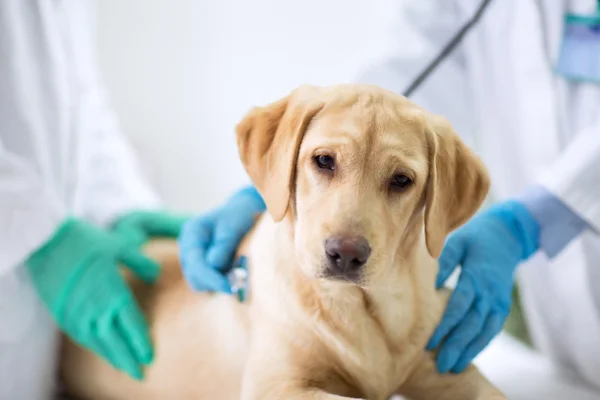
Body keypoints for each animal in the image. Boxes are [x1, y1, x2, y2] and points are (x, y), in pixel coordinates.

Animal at [61, 83, 504, 398]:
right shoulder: (276, 385)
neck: (363, 309)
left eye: (402, 180)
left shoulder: (450, 370)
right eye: (323, 160)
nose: (345, 254)